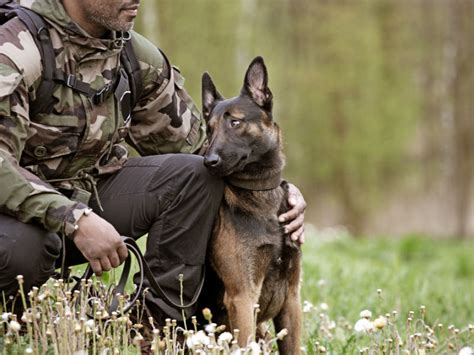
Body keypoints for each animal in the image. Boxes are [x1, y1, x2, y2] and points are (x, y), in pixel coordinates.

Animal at [201, 57, 304, 354]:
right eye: (209, 129)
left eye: (235, 122)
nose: (208, 161)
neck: (259, 192)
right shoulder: (243, 298)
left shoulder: (292, 300)